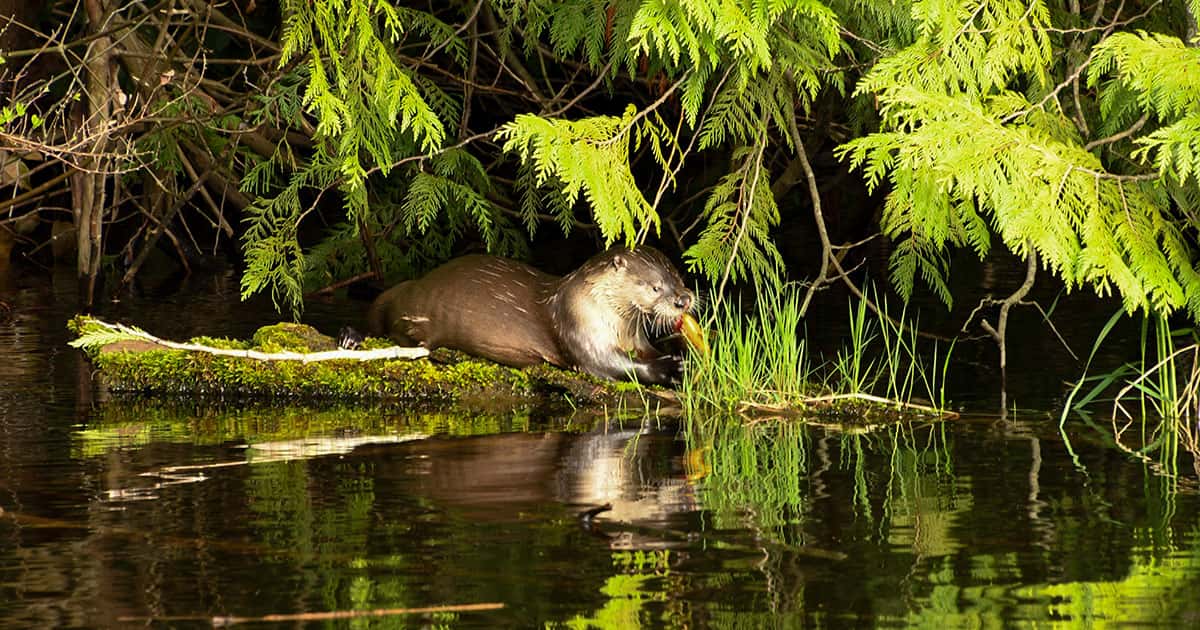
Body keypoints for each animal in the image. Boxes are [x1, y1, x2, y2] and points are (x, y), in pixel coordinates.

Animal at [366, 246, 694, 385]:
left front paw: (682, 354)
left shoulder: (636, 338)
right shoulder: (579, 330)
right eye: (655, 286)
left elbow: (647, 351)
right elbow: (607, 364)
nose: (684, 299)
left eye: (678, 277)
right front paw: (668, 368)